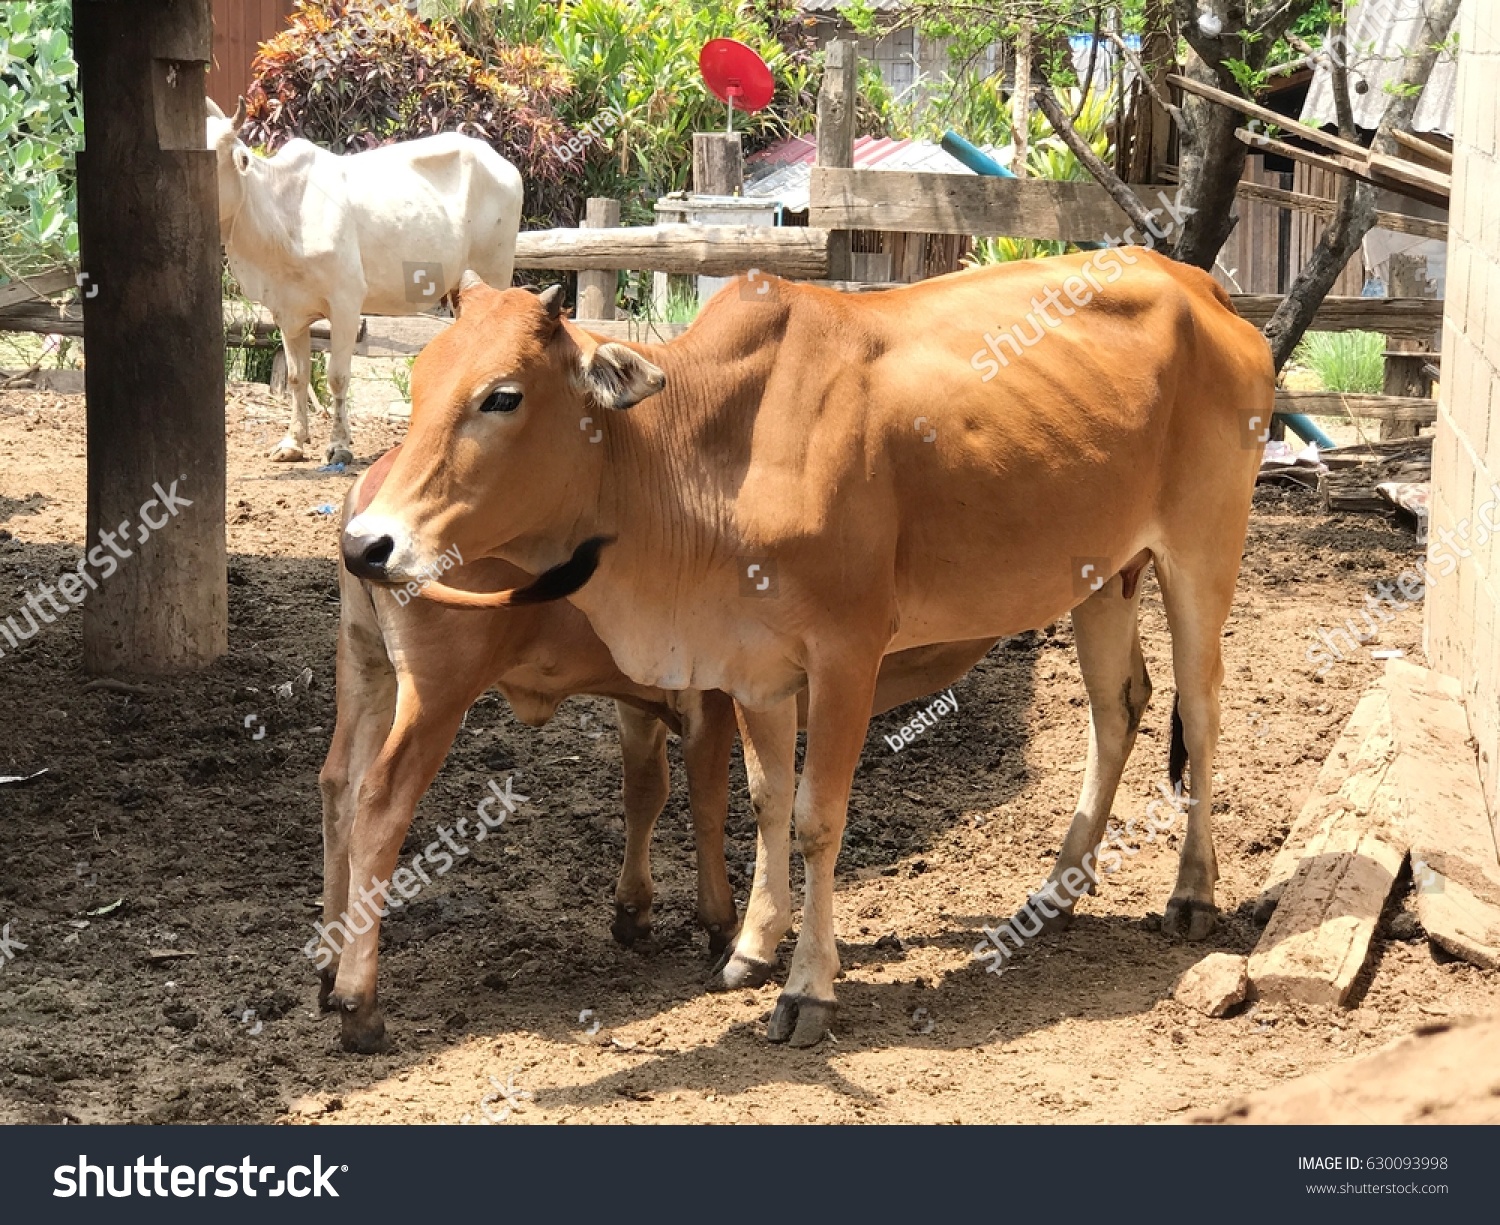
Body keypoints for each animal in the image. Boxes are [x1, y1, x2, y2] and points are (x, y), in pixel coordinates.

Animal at [205, 96, 522, 464]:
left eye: (213, 158)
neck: (280, 213)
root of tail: (503, 164)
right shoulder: (287, 312)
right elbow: (298, 378)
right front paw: (293, 442)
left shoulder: (345, 305)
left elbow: (337, 377)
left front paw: (339, 445)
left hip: (494, 271)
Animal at [337, 245, 1266, 1043]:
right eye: (421, 380)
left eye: (503, 395)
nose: (365, 545)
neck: (710, 455)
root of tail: (1200, 286)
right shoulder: (754, 670)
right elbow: (764, 800)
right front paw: (750, 947)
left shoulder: (846, 651)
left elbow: (818, 818)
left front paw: (808, 988)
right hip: (1104, 573)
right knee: (1117, 707)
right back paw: (1056, 893)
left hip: (1201, 550)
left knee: (1203, 709)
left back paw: (1192, 892)